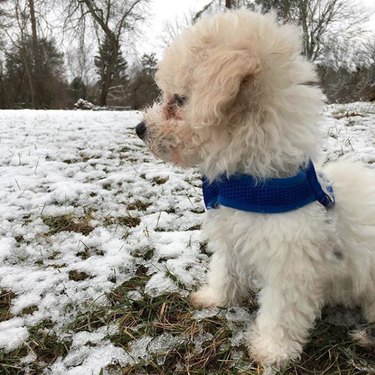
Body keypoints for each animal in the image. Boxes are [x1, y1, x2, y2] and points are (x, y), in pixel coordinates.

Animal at [137, 10, 375, 368]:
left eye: (179, 100)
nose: (139, 128)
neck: (254, 187)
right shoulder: (232, 236)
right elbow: (224, 270)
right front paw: (214, 298)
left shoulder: (291, 265)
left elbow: (281, 312)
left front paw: (272, 351)